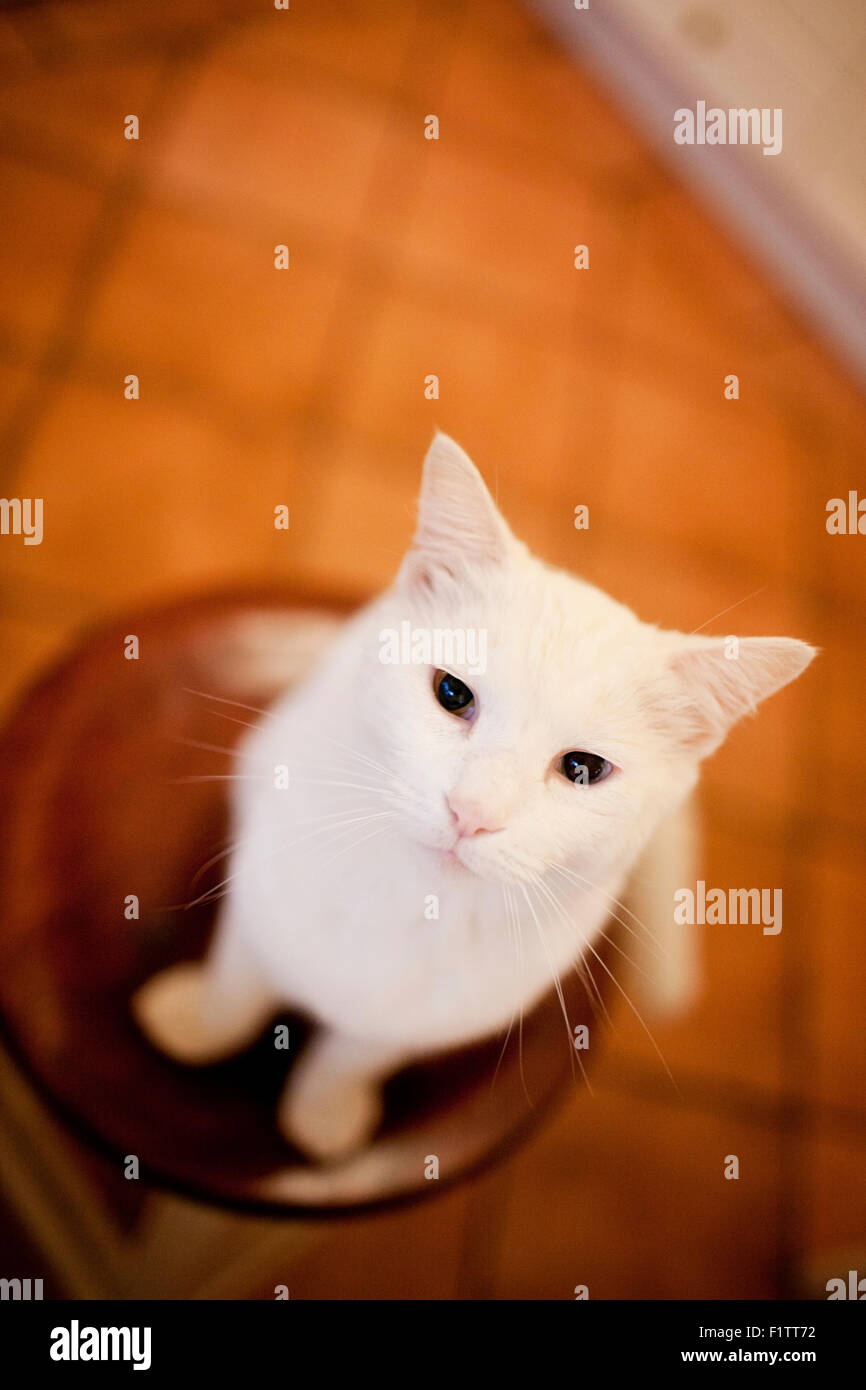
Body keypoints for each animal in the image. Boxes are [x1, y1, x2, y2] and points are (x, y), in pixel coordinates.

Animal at [134, 430, 811, 1162]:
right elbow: (234, 987)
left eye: (583, 768)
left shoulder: (426, 1021)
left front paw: (323, 1112)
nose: (472, 813)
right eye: (452, 693)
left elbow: (351, 1057)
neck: (406, 904)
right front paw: (198, 1028)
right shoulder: (260, 897)